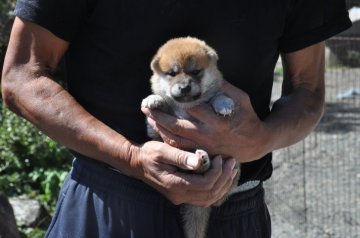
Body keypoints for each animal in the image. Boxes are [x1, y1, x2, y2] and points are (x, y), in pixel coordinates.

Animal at [142, 36, 240, 238]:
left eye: (195, 72)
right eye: (172, 73)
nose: (185, 87)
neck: (187, 107)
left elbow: (218, 96)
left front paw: (224, 104)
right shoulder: (155, 133)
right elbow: (164, 105)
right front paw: (153, 99)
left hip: (234, 167)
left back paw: (203, 159)